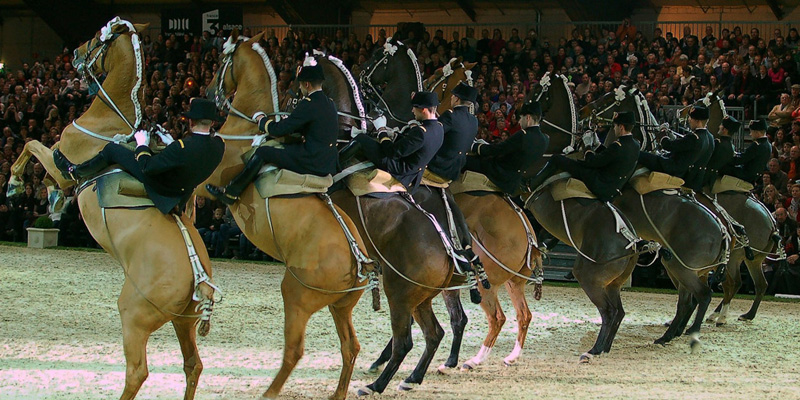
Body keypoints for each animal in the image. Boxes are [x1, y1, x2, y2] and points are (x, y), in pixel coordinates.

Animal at [10, 18, 216, 400]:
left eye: (96, 38)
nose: (75, 54)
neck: (109, 120)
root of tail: (200, 277)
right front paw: (52, 203)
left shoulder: (63, 166)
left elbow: (31, 146)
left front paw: (15, 184)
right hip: (183, 322)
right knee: (193, 365)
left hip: (134, 318)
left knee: (138, 371)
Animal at [202, 32, 374, 400]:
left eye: (220, 62)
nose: (208, 95)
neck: (247, 130)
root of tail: (359, 261)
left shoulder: (205, 180)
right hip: (339, 308)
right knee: (350, 347)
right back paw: (337, 393)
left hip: (295, 298)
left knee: (295, 351)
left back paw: (269, 392)